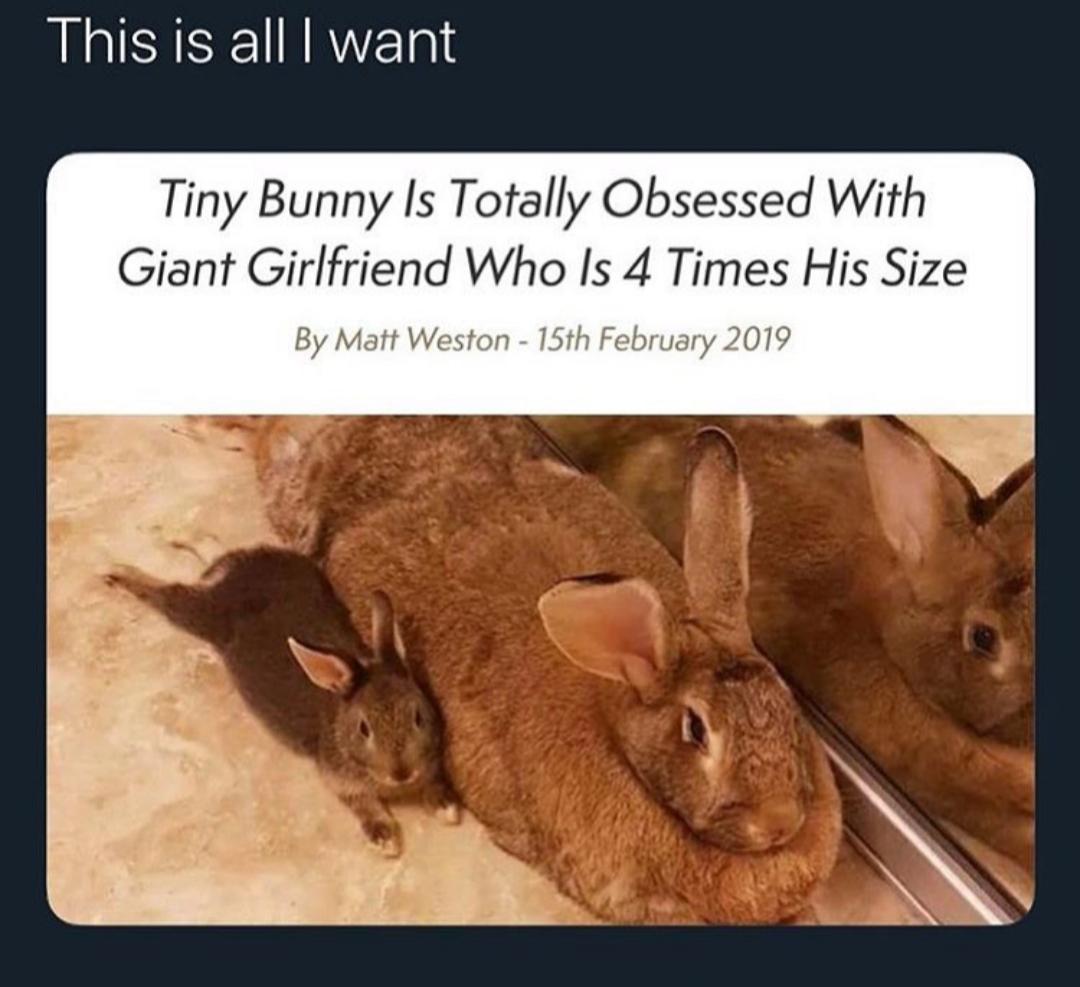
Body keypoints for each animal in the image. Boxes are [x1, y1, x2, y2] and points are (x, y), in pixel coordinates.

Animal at [103, 546, 458, 857]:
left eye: (418, 717)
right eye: (363, 728)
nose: (401, 773)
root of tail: (238, 568)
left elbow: (433, 782)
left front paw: (447, 807)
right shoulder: (338, 778)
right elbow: (363, 804)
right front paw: (385, 839)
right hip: (204, 616)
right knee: (169, 595)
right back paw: (116, 572)